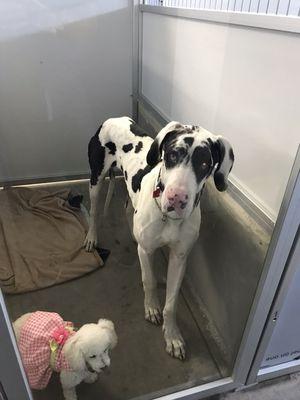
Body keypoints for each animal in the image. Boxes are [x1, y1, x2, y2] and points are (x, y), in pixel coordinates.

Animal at [84, 117, 234, 360]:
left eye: (205, 164)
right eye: (172, 155)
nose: (177, 198)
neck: (169, 219)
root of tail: (113, 119)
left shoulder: (179, 258)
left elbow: (171, 304)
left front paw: (172, 337)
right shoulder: (147, 251)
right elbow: (149, 280)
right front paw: (151, 307)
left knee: (128, 208)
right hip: (95, 179)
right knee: (95, 211)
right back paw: (91, 237)